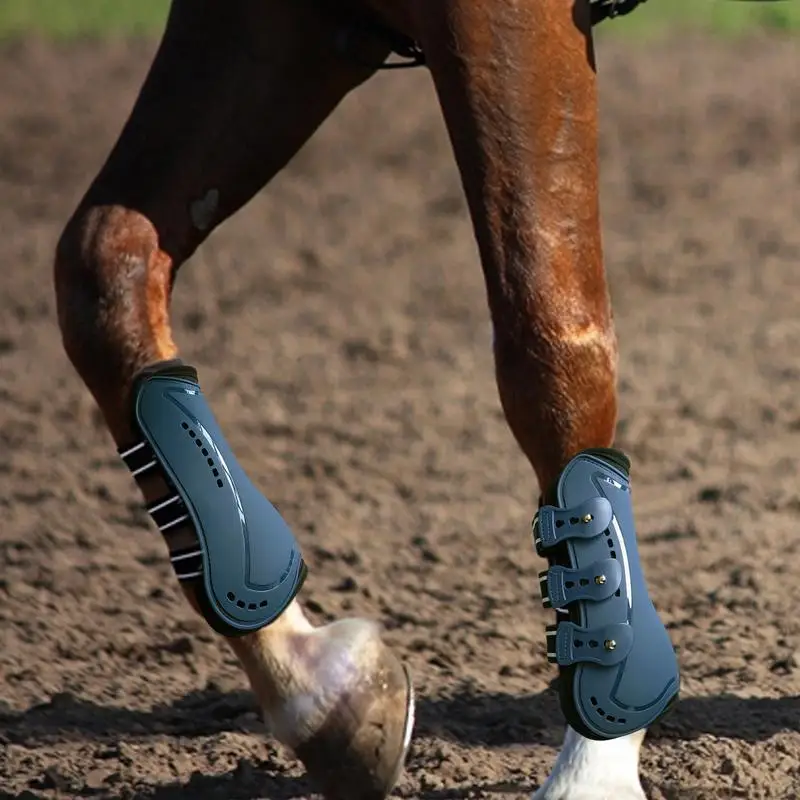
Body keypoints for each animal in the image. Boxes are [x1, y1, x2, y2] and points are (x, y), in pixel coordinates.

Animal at [53, 1, 678, 798]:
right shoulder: (267, 22)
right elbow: (102, 272)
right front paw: (324, 694)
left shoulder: (505, 23)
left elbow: (549, 339)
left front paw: (592, 766)